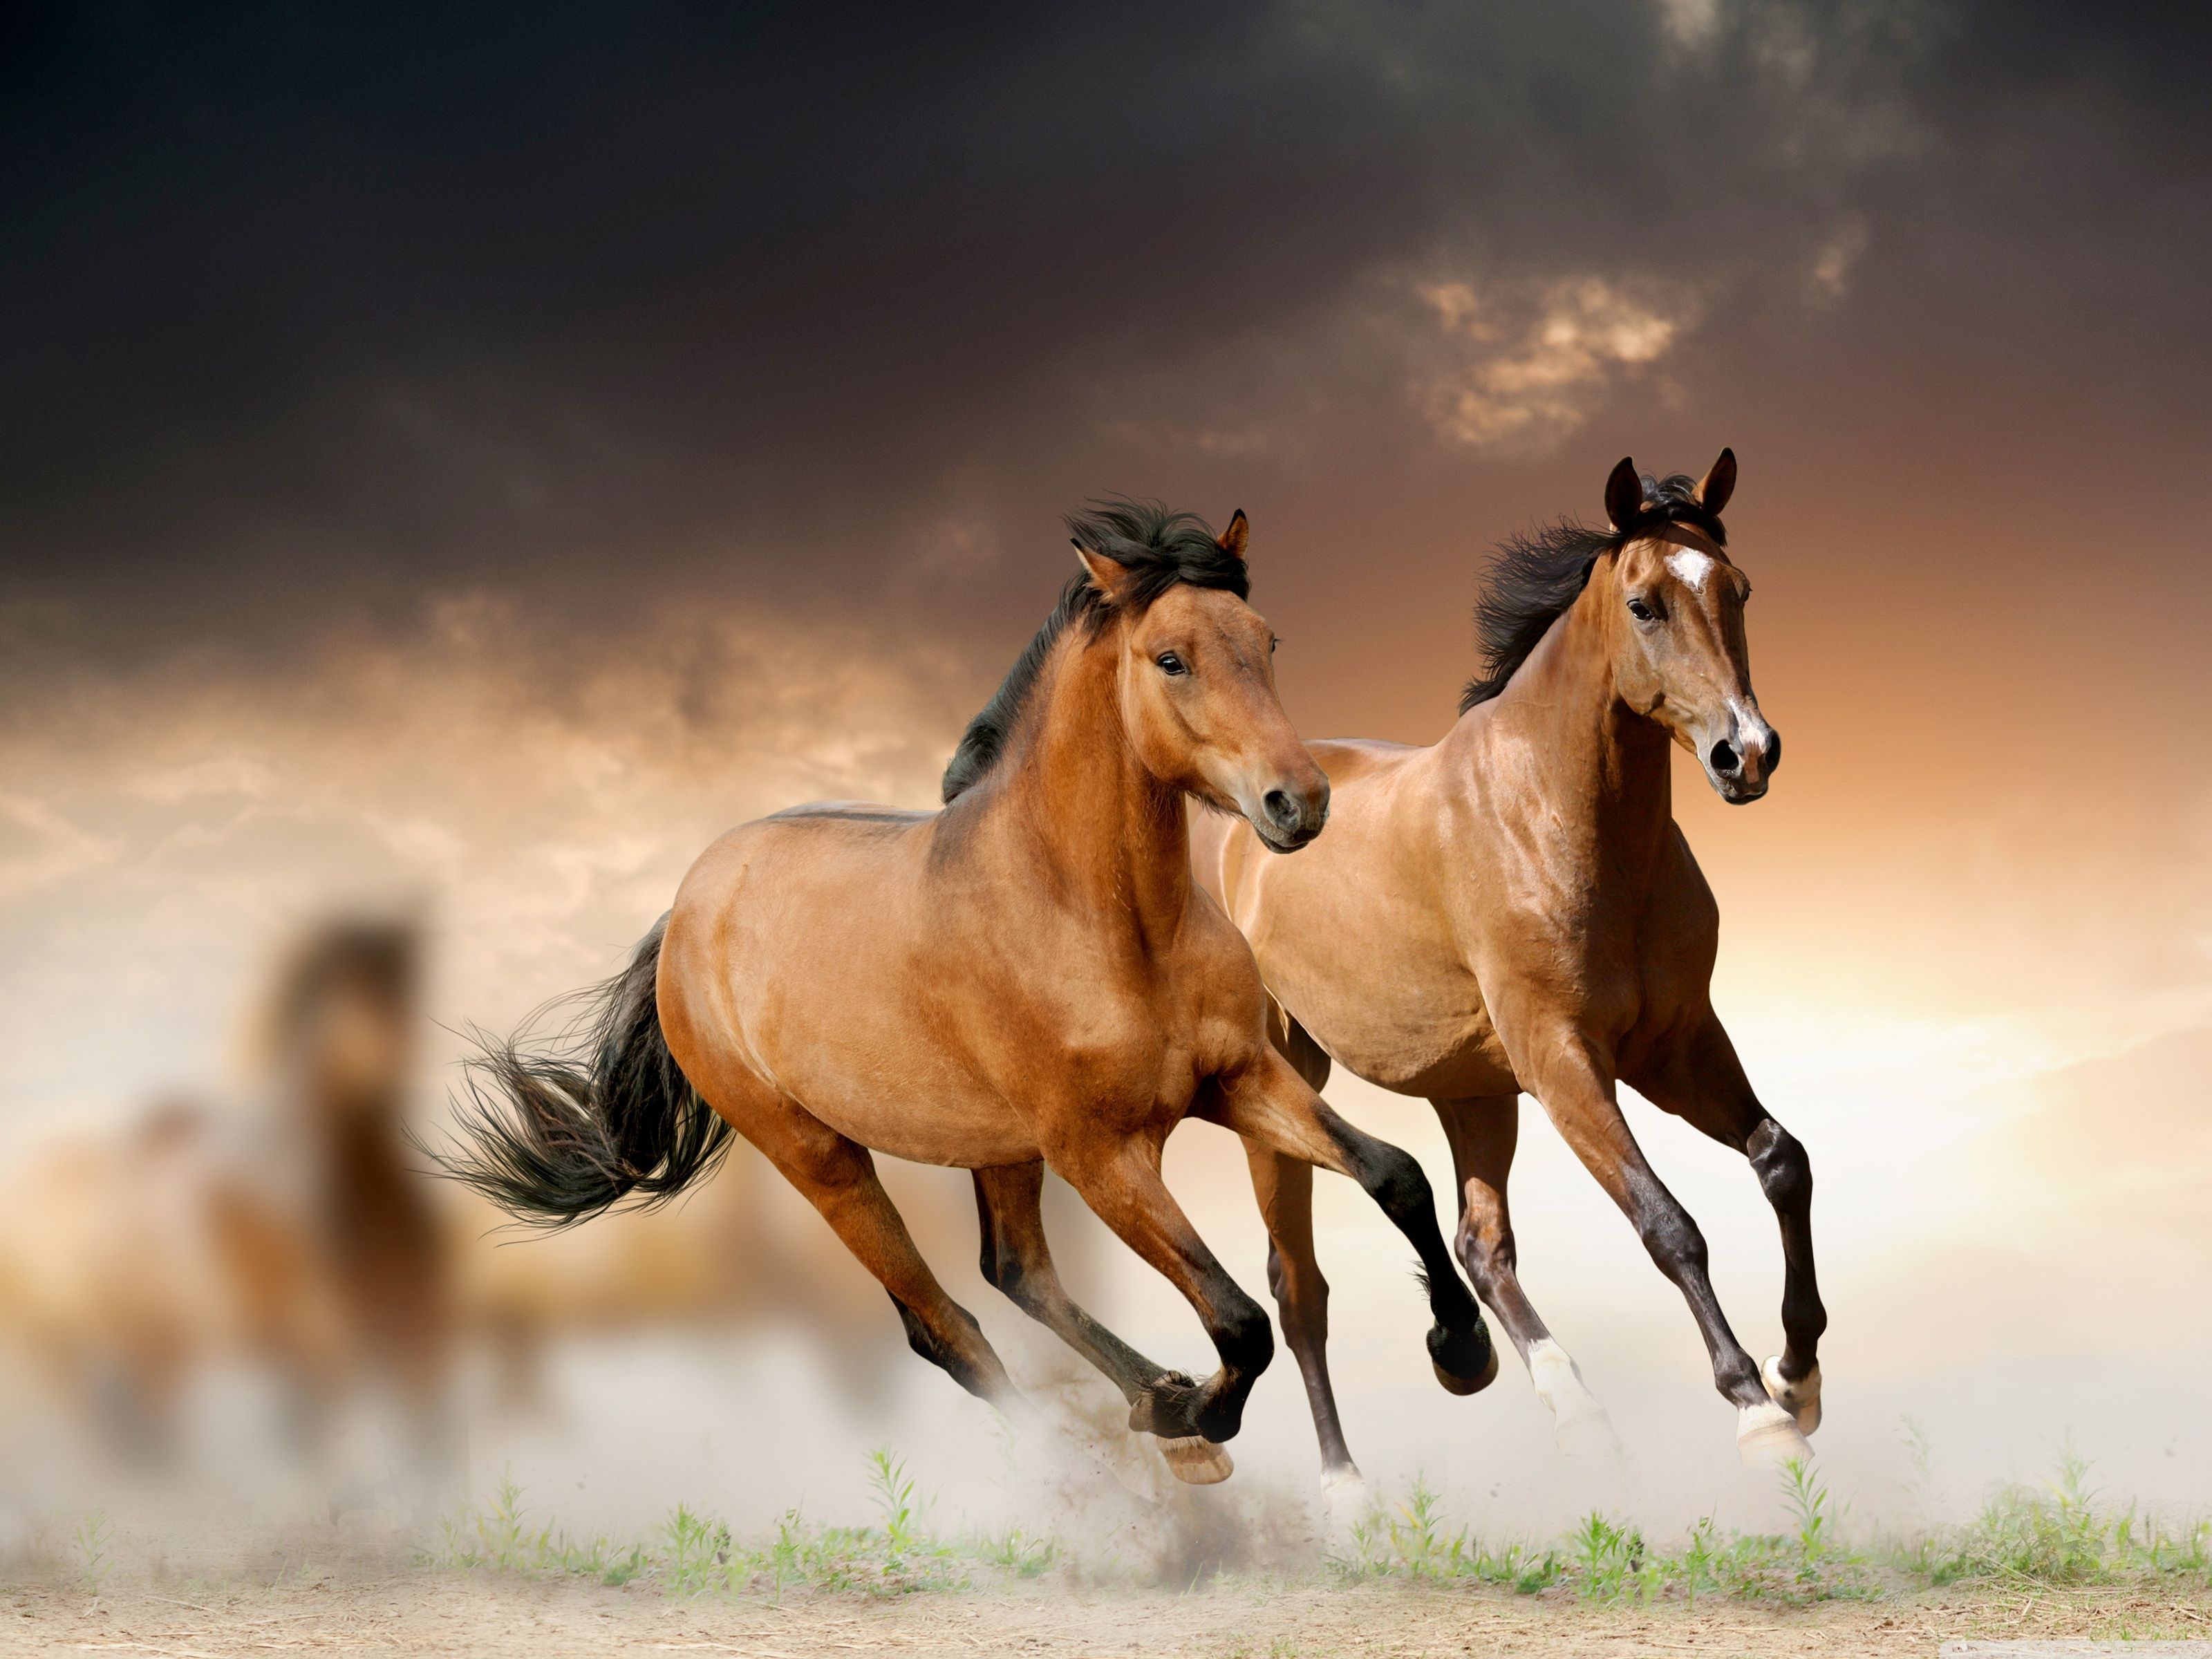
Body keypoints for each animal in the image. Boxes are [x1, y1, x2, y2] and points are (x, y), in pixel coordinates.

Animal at [438, 501, 1494, 1485]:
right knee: (945, 1328)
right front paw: (1201, 1415)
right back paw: (1117, 1462)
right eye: (1171, 659)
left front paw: (1462, 1352)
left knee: (1014, 1271)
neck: (1103, 920)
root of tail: (687, 910)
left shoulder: (1237, 1079)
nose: (1298, 803)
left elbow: (1395, 1174)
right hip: (821, 1157)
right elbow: (1238, 1321)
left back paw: (1154, 1401)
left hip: (997, 1147)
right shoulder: (1101, 1155)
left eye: (1267, 641)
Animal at [1193, 452, 1824, 1482]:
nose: (1748, 753)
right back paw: (1345, 1486)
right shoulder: (1564, 1059)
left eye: (1737, 590)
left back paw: (1562, 1405)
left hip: (1473, 1091)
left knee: (1480, 1245)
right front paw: (1754, 1408)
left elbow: (1781, 1161)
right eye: (1644, 604)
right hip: (1283, 1081)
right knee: (1299, 1289)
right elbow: (1667, 1224)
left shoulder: (1676, 1044)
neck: (1558, 818)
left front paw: (1797, 1375)